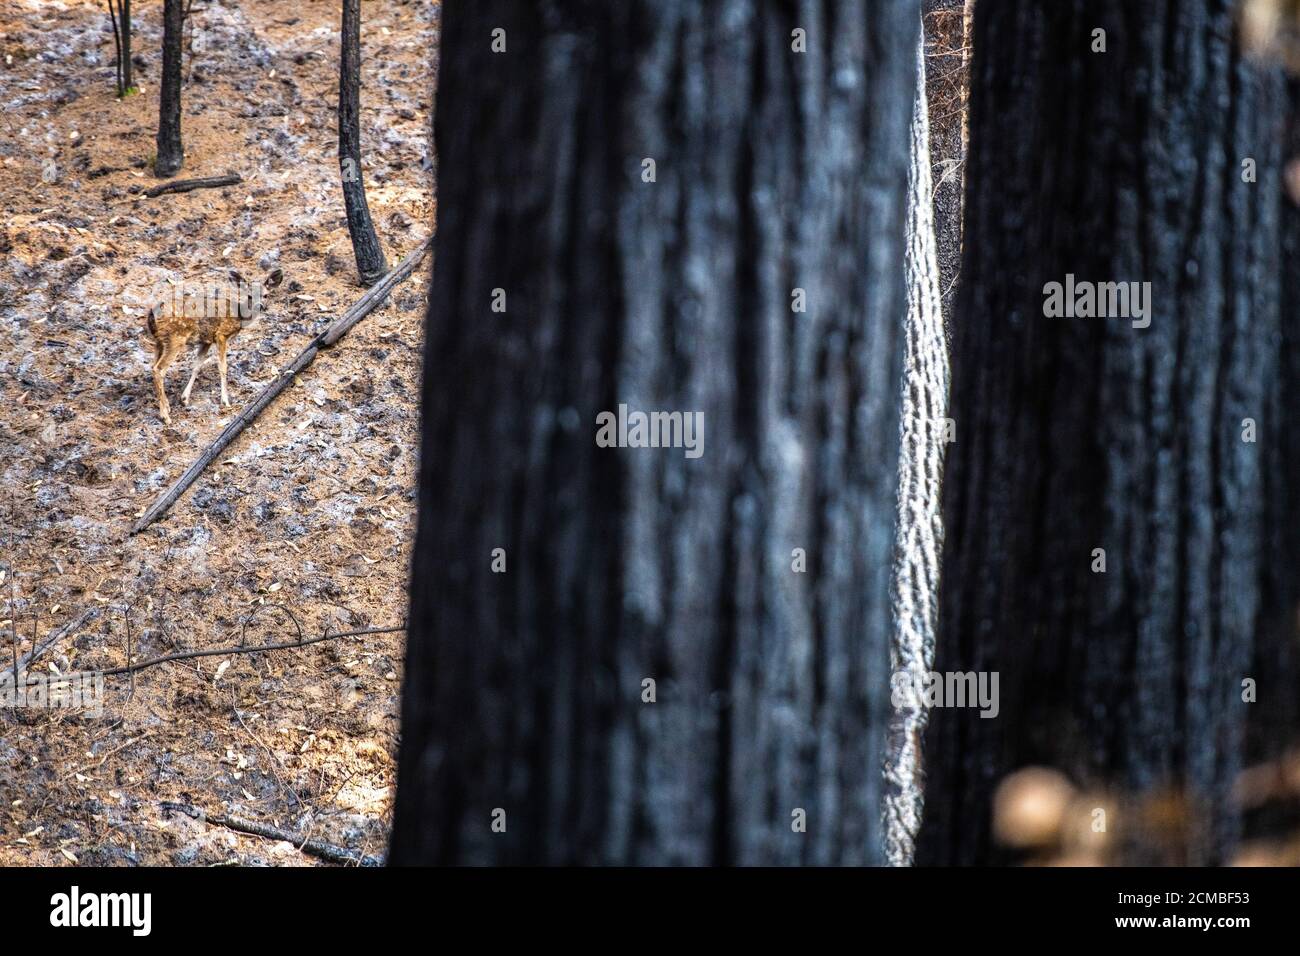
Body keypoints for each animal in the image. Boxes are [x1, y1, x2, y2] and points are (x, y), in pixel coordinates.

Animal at [144, 267, 283, 424]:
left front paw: (184, 398)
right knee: (158, 369)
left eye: (266, 295)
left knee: (153, 366)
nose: (260, 306)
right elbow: (222, 367)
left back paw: (167, 406)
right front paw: (225, 401)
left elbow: (196, 366)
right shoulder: (221, 335)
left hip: (160, 341)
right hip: (175, 339)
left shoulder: (206, 340)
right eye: (249, 296)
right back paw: (165, 416)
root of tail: (152, 313)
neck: (239, 316)